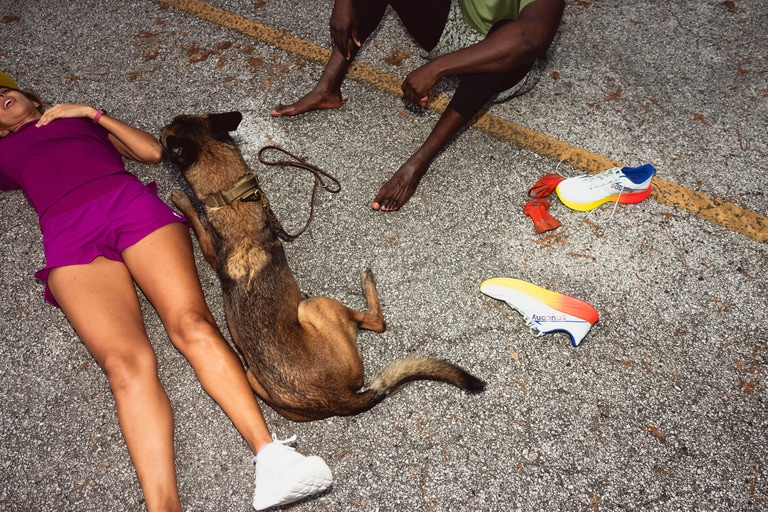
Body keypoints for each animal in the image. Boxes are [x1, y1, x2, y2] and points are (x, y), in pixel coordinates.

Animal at [160, 111, 486, 420]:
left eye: (168, 129)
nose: (160, 129)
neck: (231, 198)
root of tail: (340, 398)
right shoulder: (210, 248)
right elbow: (197, 222)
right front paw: (182, 200)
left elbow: (198, 224)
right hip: (297, 324)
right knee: (375, 322)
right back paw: (367, 281)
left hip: (279, 343)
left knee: (376, 322)